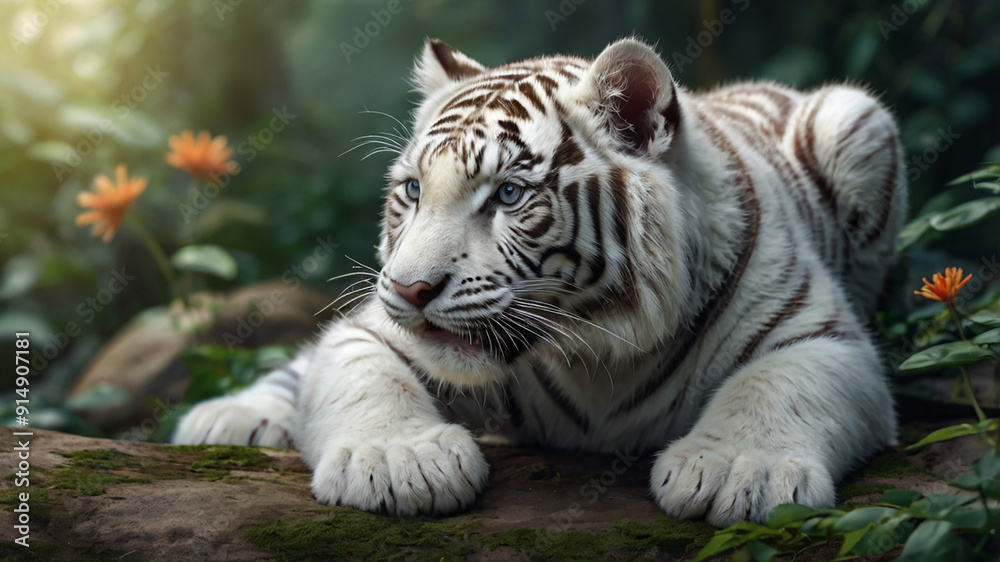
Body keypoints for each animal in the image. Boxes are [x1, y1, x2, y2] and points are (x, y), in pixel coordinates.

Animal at [173, 37, 906, 526]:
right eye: (413, 190)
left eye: (508, 194)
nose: (409, 289)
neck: (598, 345)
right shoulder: (375, 332)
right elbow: (360, 370)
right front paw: (399, 461)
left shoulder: (824, 337)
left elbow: (775, 387)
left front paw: (740, 470)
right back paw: (225, 417)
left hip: (857, 118)